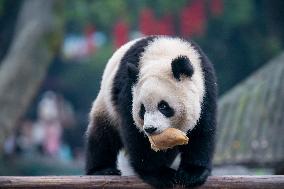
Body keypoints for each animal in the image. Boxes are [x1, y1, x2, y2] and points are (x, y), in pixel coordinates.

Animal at [85, 35, 216, 188]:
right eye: (142, 109)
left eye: (163, 106)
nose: (150, 129)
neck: (164, 53)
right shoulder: (129, 91)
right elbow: (136, 135)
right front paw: (160, 174)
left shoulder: (206, 89)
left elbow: (202, 131)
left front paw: (192, 173)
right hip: (106, 106)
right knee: (102, 135)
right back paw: (102, 170)